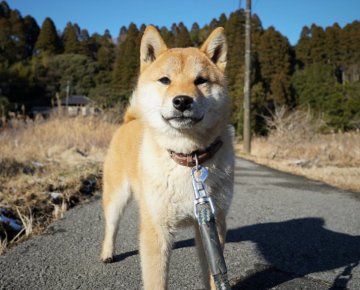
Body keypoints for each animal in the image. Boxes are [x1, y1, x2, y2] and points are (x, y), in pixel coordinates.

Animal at [101, 25, 235, 290]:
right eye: (165, 80)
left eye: (200, 80)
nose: (182, 100)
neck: (188, 158)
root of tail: (130, 120)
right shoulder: (156, 229)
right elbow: (156, 281)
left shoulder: (211, 223)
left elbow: (214, 274)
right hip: (117, 197)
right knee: (111, 226)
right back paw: (107, 253)